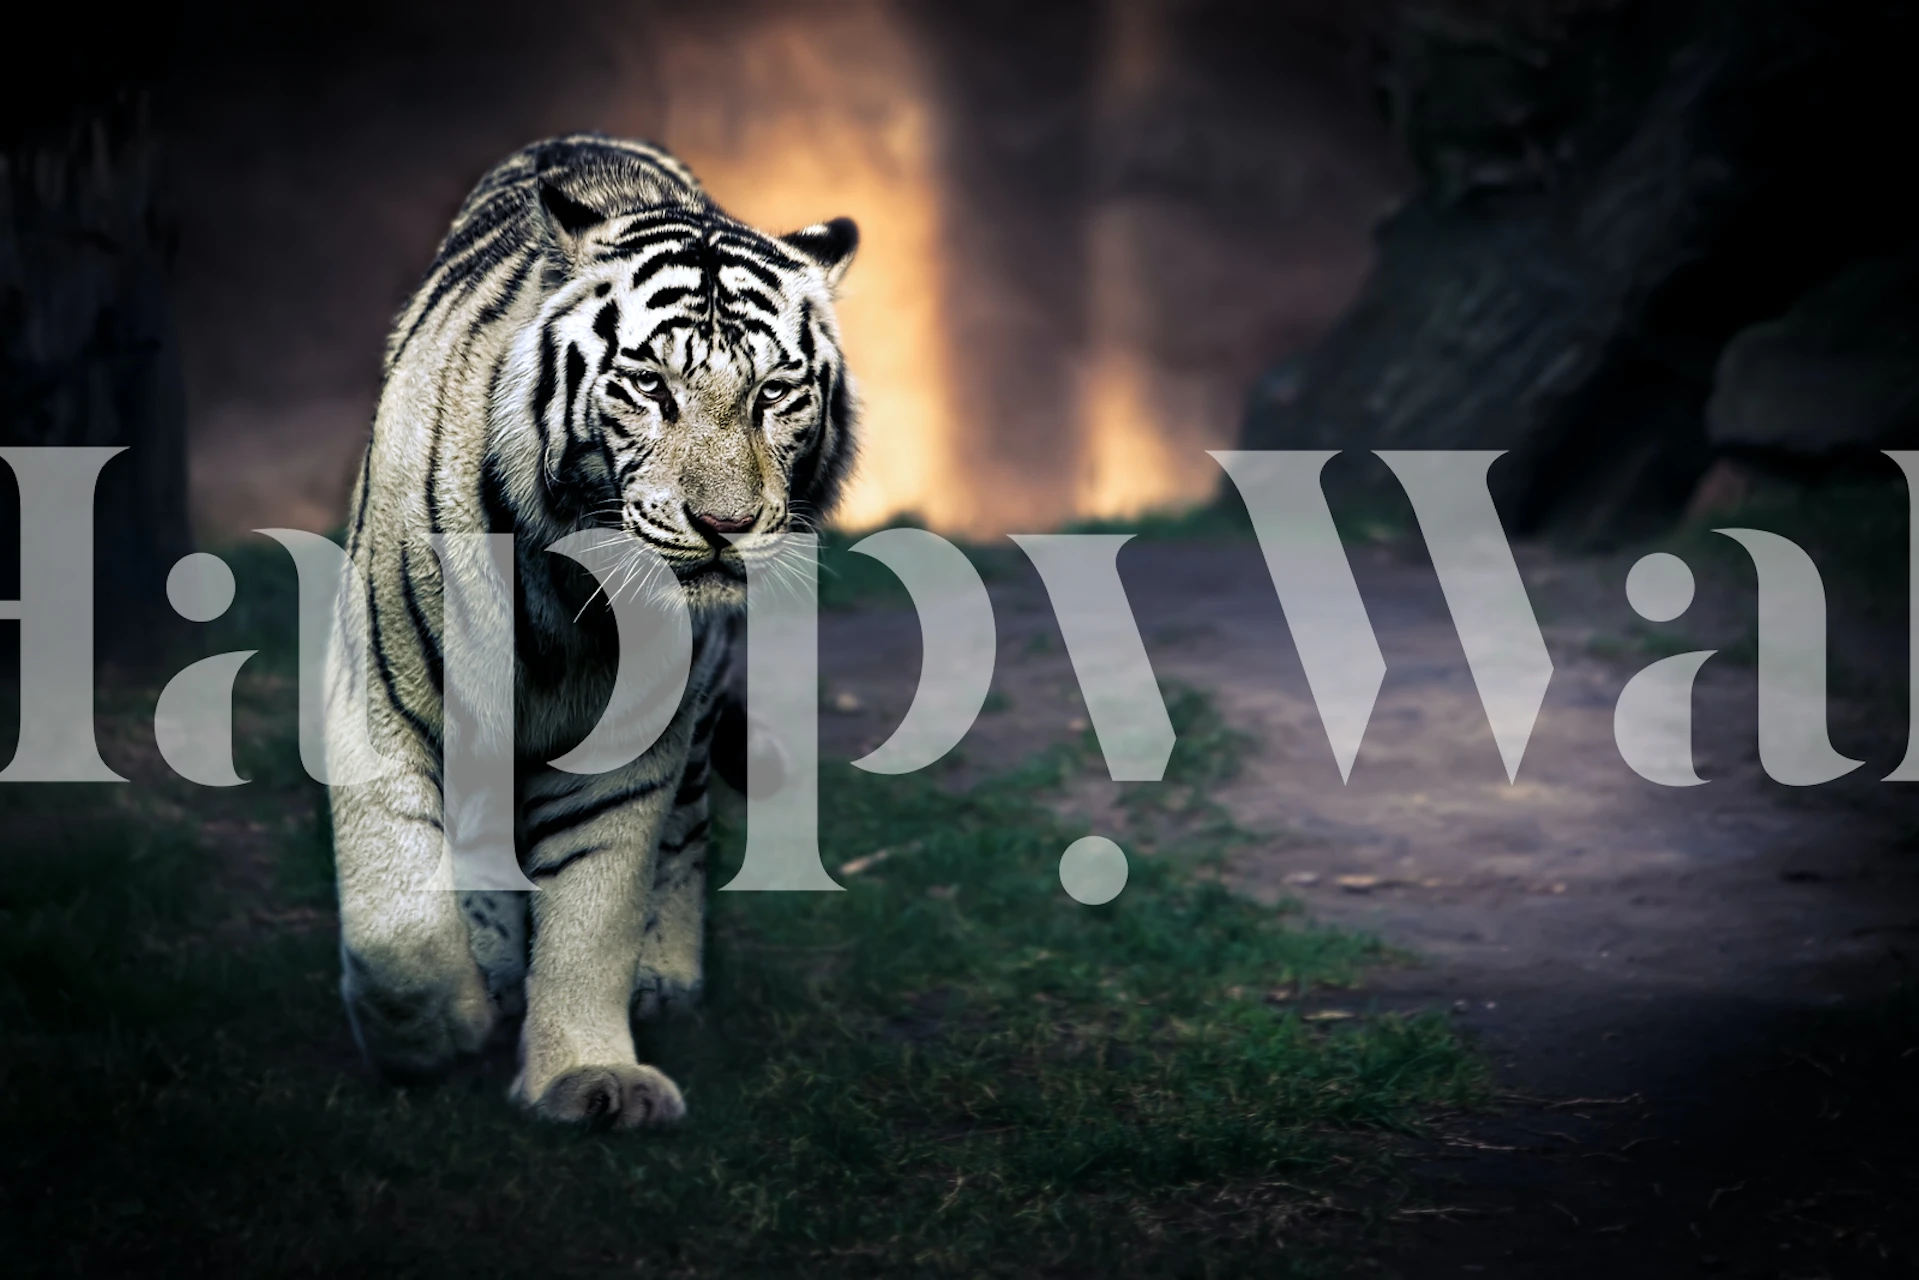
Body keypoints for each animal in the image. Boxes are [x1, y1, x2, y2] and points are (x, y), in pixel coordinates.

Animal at [323, 134, 857, 1127]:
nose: (725, 524)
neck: (574, 586)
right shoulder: (382, 696)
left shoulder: (630, 739)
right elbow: (396, 919)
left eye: (774, 393)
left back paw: (664, 973)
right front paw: (439, 1029)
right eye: (649, 386)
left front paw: (586, 1075)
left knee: (687, 826)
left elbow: (595, 903)